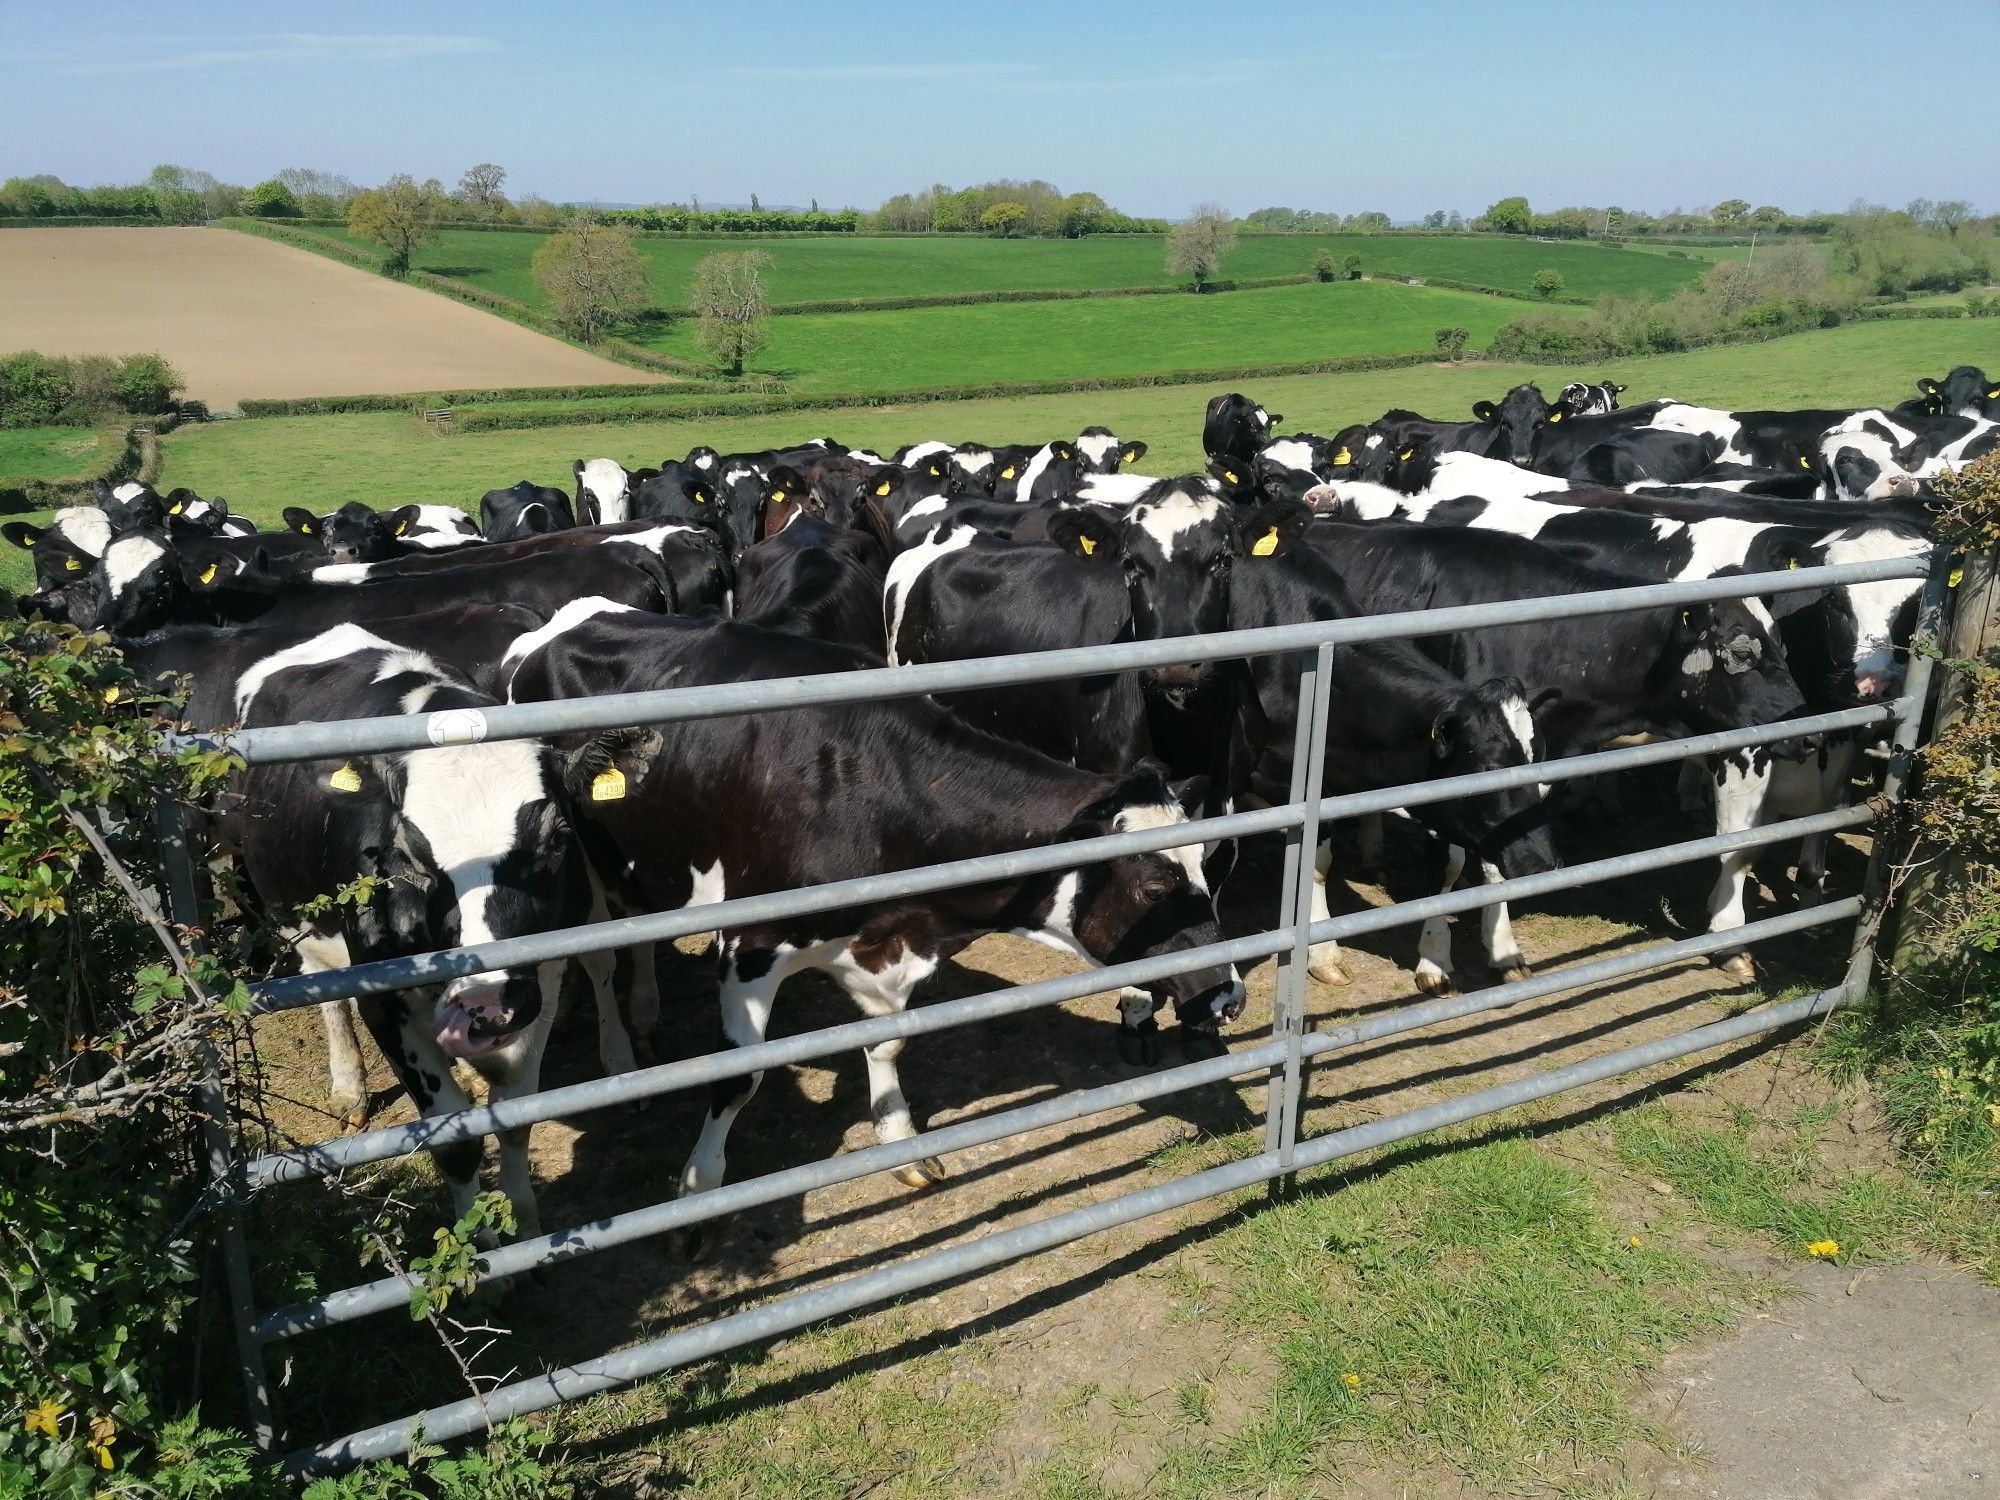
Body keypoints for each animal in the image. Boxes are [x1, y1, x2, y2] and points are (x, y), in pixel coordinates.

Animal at [506, 610, 1246, 1251]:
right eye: (1153, 887)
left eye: (1208, 867)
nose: (1229, 994)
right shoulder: (748, 948)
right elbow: (737, 1080)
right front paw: (695, 1199)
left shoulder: (893, 944)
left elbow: (887, 1041)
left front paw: (900, 1140)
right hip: (582, 865)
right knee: (596, 958)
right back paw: (618, 1059)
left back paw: (645, 1016)